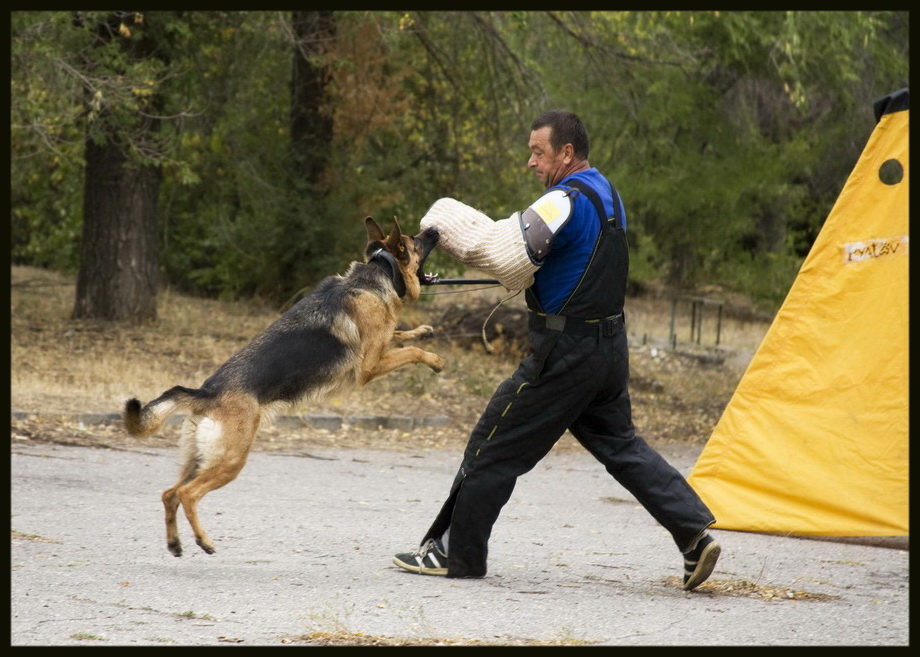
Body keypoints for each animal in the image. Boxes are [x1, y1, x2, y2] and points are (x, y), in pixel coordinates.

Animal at [125, 218, 442, 556]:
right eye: (415, 240)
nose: (435, 229)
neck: (378, 273)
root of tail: (206, 393)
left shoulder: (381, 345)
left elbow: (399, 334)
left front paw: (423, 331)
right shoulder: (369, 366)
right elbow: (411, 351)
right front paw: (435, 360)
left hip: (199, 459)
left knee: (169, 493)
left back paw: (175, 543)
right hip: (230, 461)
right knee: (187, 494)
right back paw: (204, 540)